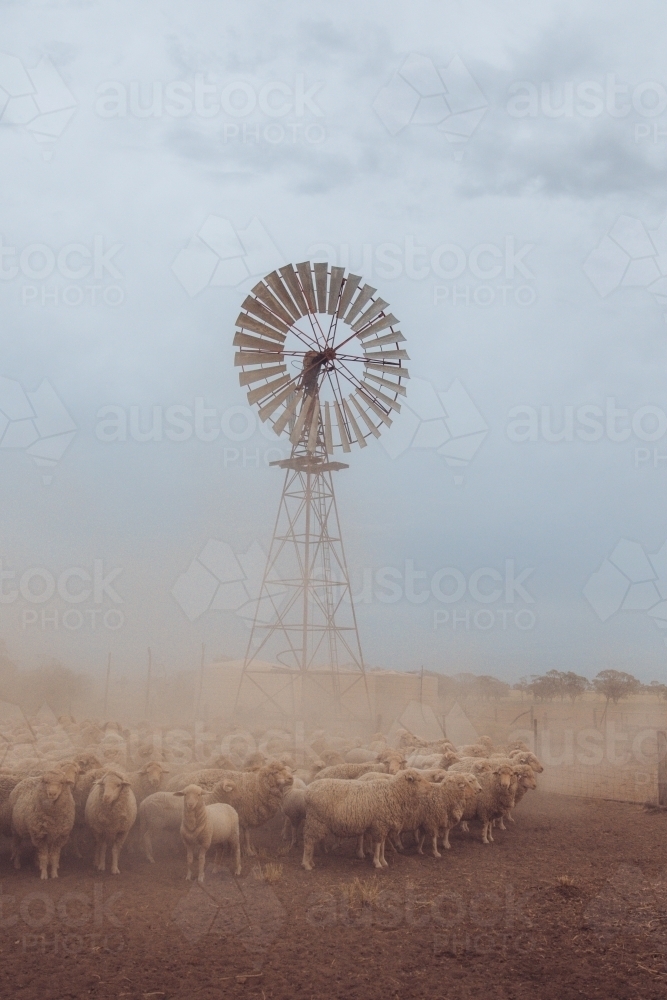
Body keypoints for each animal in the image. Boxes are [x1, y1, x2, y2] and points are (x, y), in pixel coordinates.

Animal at [302, 768, 430, 872]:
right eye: (418, 780)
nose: (430, 788)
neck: (393, 792)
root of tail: (307, 790)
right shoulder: (379, 824)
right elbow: (378, 846)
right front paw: (377, 863)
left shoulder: (383, 826)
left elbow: (382, 845)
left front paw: (383, 861)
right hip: (316, 820)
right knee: (308, 842)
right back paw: (306, 864)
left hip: (316, 822)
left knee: (311, 841)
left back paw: (311, 862)